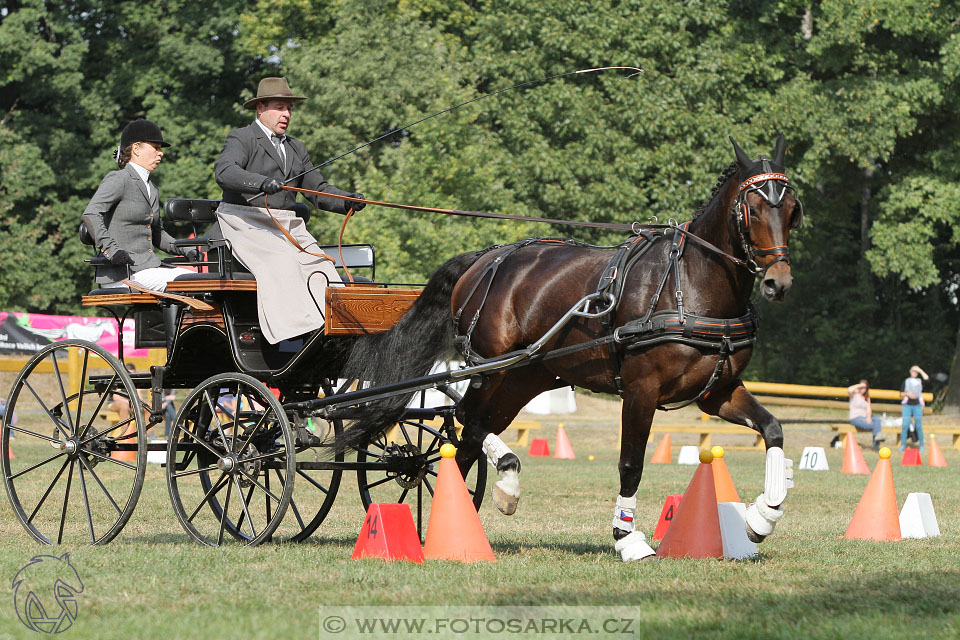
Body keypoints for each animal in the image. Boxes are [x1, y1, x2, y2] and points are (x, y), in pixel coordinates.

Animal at [340, 134, 804, 560]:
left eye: (792, 210)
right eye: (753, 209)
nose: (778, 282)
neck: (688, 283)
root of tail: (483, 259)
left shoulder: (716, 392)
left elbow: (773, 429)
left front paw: (763, 516)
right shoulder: (641, 390)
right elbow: (631, 463)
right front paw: (627, 538)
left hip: (523, 377)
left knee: (470, 432)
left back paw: (480, 503)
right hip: (490, 368)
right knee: (464, 419)